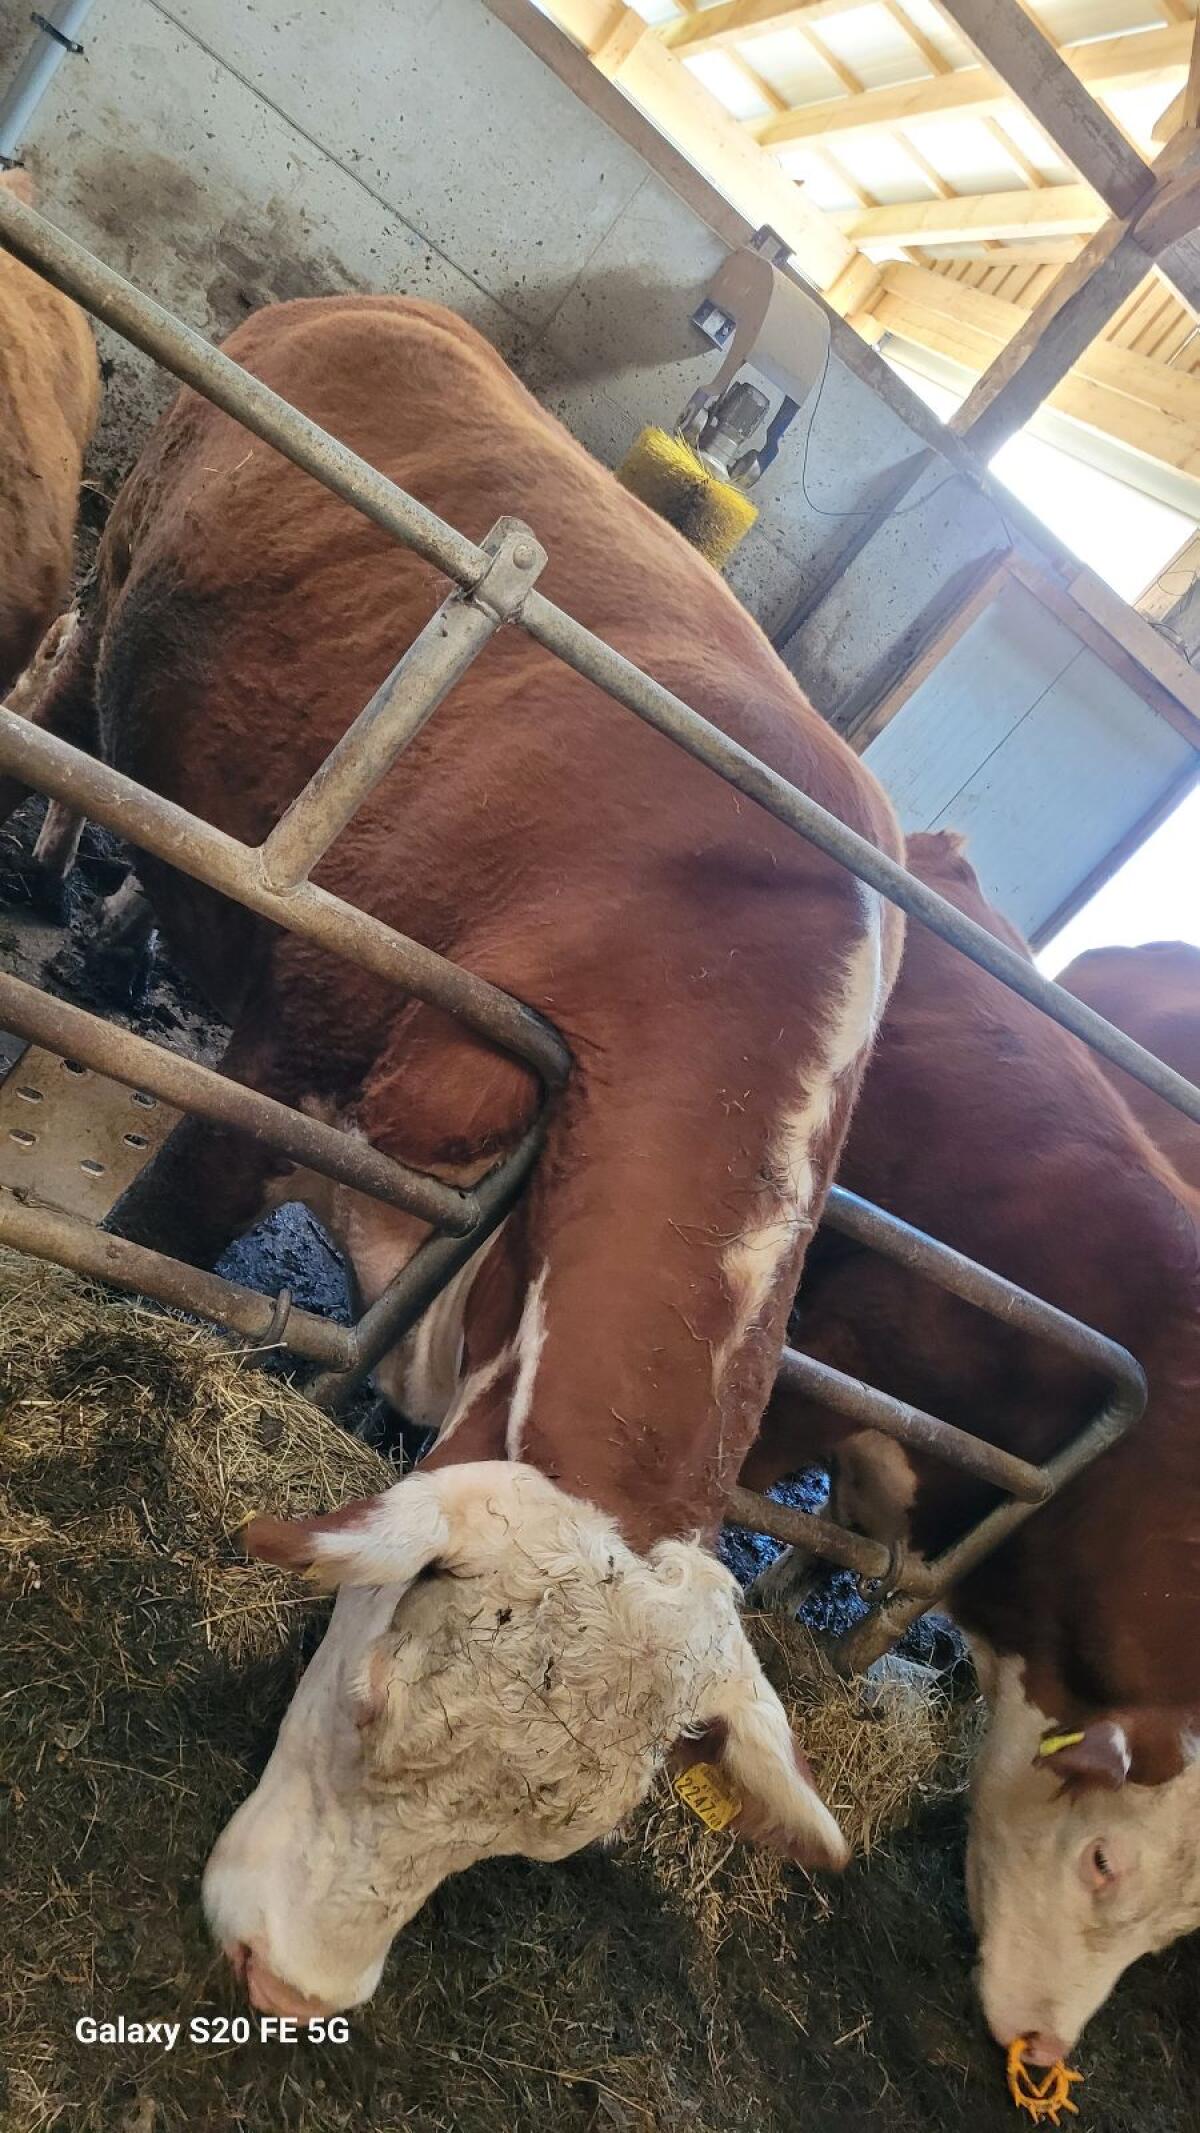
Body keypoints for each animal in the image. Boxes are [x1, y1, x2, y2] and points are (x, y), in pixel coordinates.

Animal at [0, 294, 904, 2016]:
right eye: (374, 1706)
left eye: (536, 1846)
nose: (291, 1991)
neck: (697, 949)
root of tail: (382, 303)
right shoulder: (294, 1060)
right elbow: (168, 1230)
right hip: (123, 579)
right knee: (70, 697)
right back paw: (52, 872)